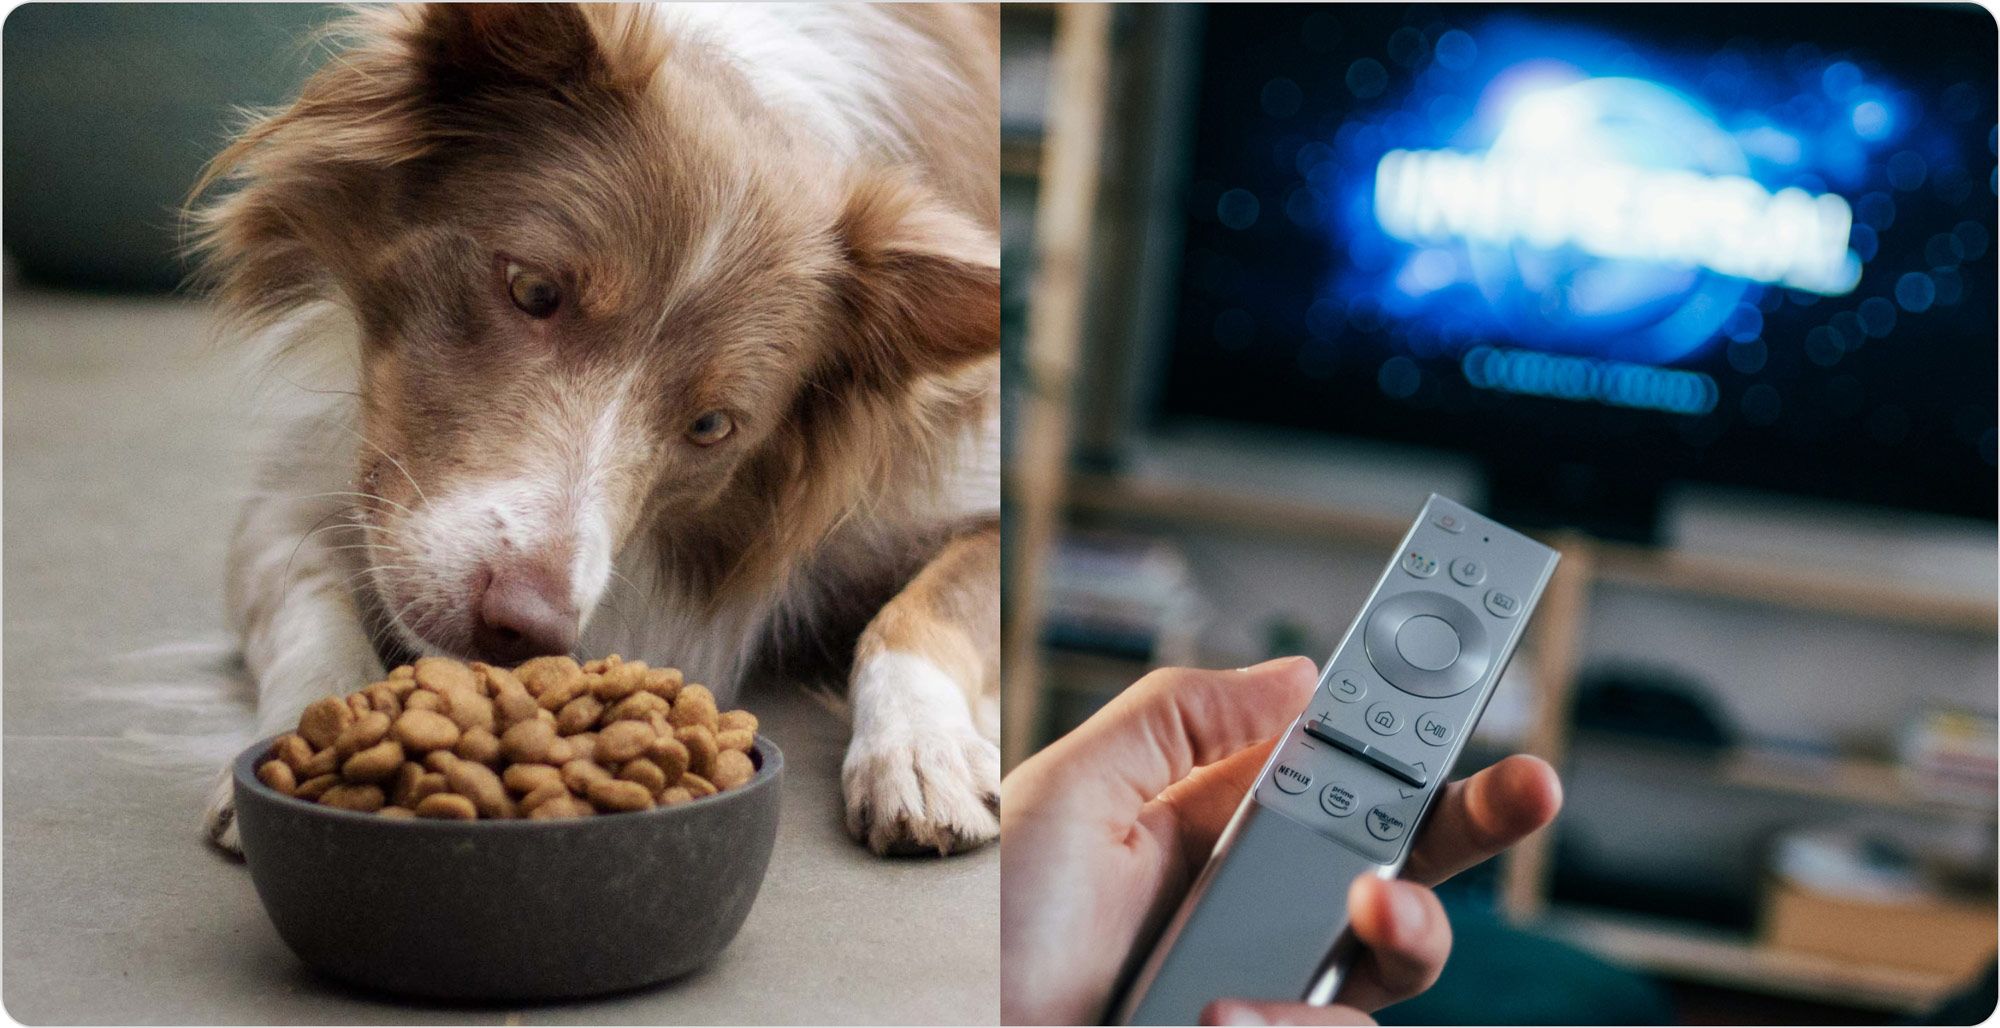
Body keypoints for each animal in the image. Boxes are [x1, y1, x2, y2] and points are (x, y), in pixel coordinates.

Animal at [193, 6, 1000, 856]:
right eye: (532, 290)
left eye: (711, 425)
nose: (523, 626)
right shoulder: (307, 487)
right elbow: (309, 601)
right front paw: (311, 730)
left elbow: (920, 611)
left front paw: (921, 748)